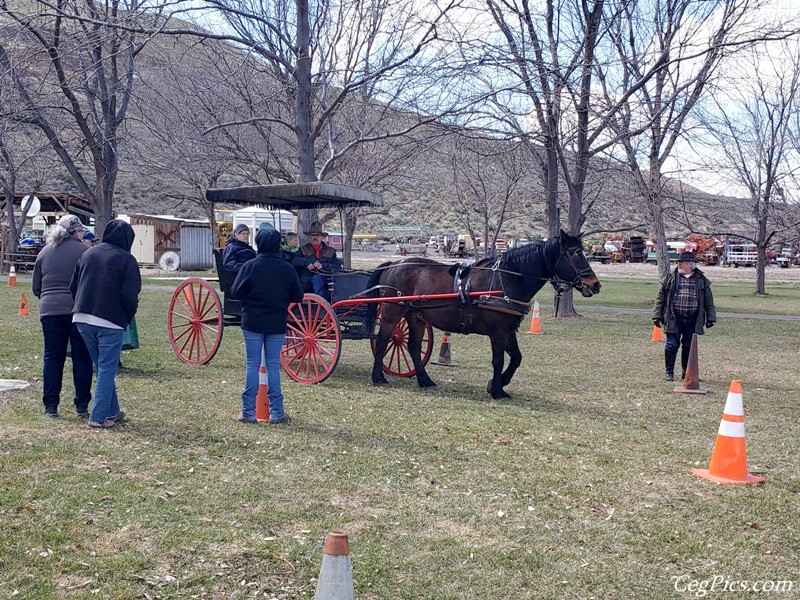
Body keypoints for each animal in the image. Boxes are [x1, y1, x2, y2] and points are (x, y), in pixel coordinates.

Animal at [364, 230, 600, 398]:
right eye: (575, 254)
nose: (595, 284)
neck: (507, 279)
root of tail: (394, 264)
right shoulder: (498, 332)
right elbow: (498, 360)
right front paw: (497, 390)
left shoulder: (509, 331)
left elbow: (516, 358)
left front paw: (499, 384)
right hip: (392, 312)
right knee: (383, 340)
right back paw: (378, 377)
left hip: (416, 317)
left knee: (412, 347)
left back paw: (425, 380)